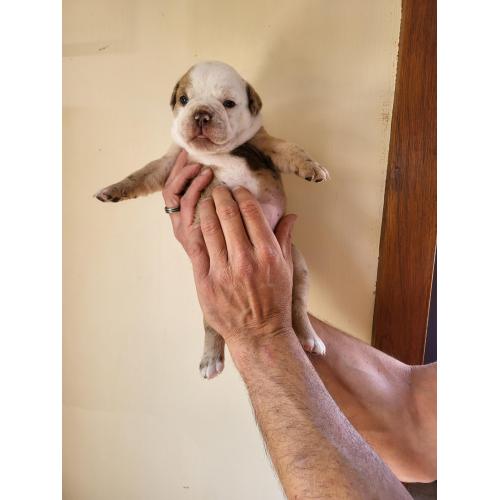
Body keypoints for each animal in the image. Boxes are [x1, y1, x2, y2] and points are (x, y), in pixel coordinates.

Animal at [95, 59, 330, 378]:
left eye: (228, 103)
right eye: (184, 99)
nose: (201, 115)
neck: (217, 152)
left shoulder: (263, 141)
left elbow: (291, 148)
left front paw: (313, 168)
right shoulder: (171, 161)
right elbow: (142, 174)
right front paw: (112, 190)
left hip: (299, 266)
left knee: (297, 305)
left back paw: (309, 338)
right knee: (212, 325)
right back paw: (210, 359)